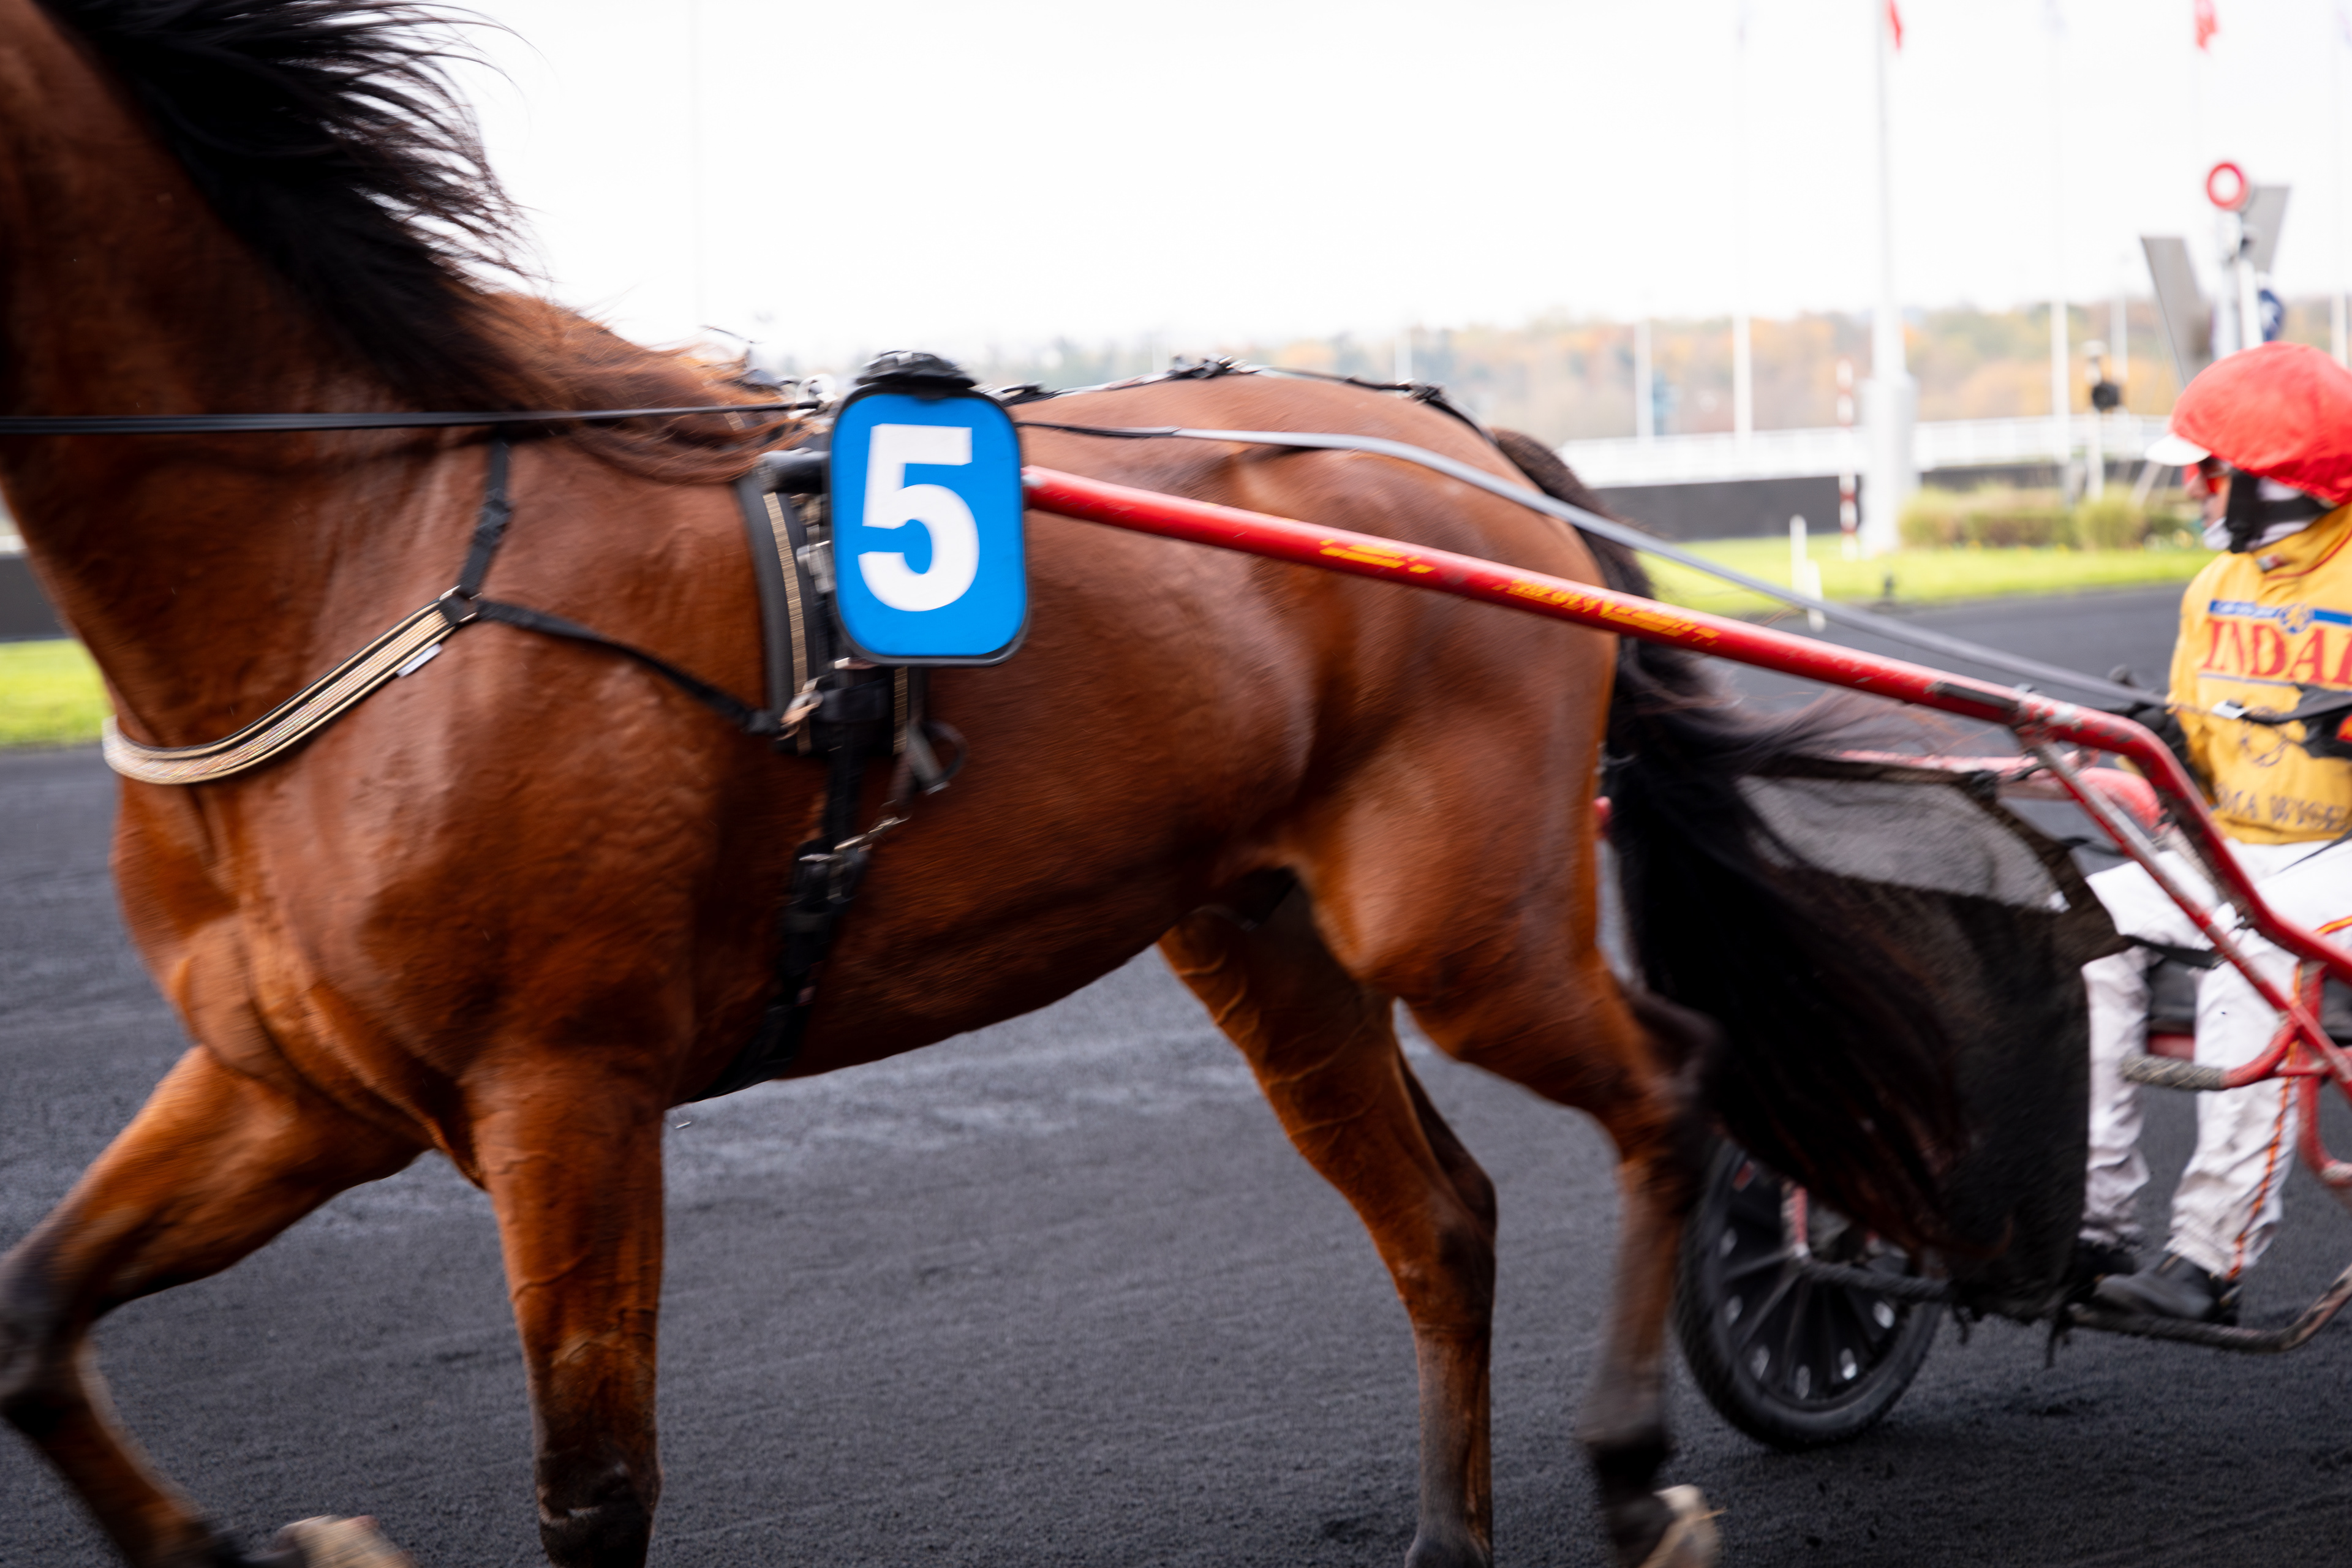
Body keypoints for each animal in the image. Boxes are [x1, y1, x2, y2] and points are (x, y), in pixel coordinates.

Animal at [0, 3, 1967, 1565]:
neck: (366, 550)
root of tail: (1452, 440)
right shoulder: (296, 1086)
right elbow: (33, 1316)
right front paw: (234, 1543)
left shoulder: (566, 1085)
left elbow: (594, 1489)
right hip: (1267, 941)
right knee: (1443, 1218)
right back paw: (1447, 1534)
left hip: (1462, 926)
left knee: (1672, 1082)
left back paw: (1636, 1473)